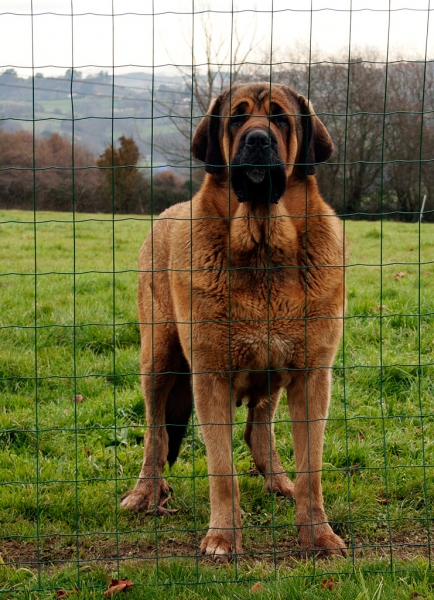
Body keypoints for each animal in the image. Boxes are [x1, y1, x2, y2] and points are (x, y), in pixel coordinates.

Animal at [121, 82, 346, 560]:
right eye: (238, 119)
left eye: (279, 118)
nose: (257, 141)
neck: (263, 245)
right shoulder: (211, 377)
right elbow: (221, 470)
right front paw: (223, 537)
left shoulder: (312, 376)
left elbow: (311, 470)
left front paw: (317, 534)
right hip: (158, 359)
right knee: (156, 435)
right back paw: (146, 492)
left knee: (258, 431)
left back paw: (278, 481)